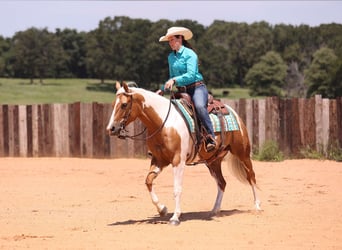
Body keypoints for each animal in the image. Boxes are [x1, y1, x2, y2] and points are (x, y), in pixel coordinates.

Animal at [105, 82, 260, 227]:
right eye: (113, 104)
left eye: (124, 104)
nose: (111, 128)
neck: (164, 123)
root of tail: (234, 113)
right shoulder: (158, 160)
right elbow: (148, 181)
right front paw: (162, 209)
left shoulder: (178, 161)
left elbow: (177, 189)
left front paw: (175, 217)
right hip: (213, 161)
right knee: (222, 183)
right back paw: (214, 210)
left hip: (242, 153)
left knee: (251, 176)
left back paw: (257, 206)